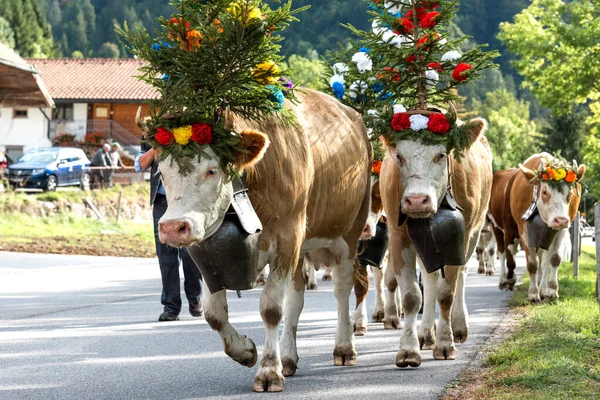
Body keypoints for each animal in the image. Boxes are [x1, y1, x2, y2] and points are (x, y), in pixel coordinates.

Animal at [143, 89, 372, 392]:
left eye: (212, 170)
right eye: (162, 172)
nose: (172, 227)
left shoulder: (288, 238)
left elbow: (271, 309)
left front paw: (269, 370)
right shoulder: (211, 254)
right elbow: (214, 313)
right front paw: (246, 351)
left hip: (350, 231)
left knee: (342, 289)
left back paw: (344, 347)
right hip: (304, 247)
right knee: (296, 299)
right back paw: (289, 356)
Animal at [380, 118, 492, 366]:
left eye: (441, 154)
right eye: (399, 156)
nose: (416, 200)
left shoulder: (460, 235)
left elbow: (446, 293)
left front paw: (445, 343)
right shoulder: (398, 236)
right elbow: (412, 296)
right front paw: (408, 349)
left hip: (475, 233)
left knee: (462, 273)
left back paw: (458, 327)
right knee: (430, 278)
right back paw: (425, 333)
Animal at [488, 152, 584, 300]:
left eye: (570, 193)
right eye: (544, 192)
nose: (561, 220)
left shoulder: (560, 230)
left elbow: (554, 259)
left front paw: (551, 290)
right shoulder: (519, 231)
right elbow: (529, 263)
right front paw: (533, 293)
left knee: (543, 260)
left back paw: (542, 286)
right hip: (497, 227)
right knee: (503, 252)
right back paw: (504, 280)